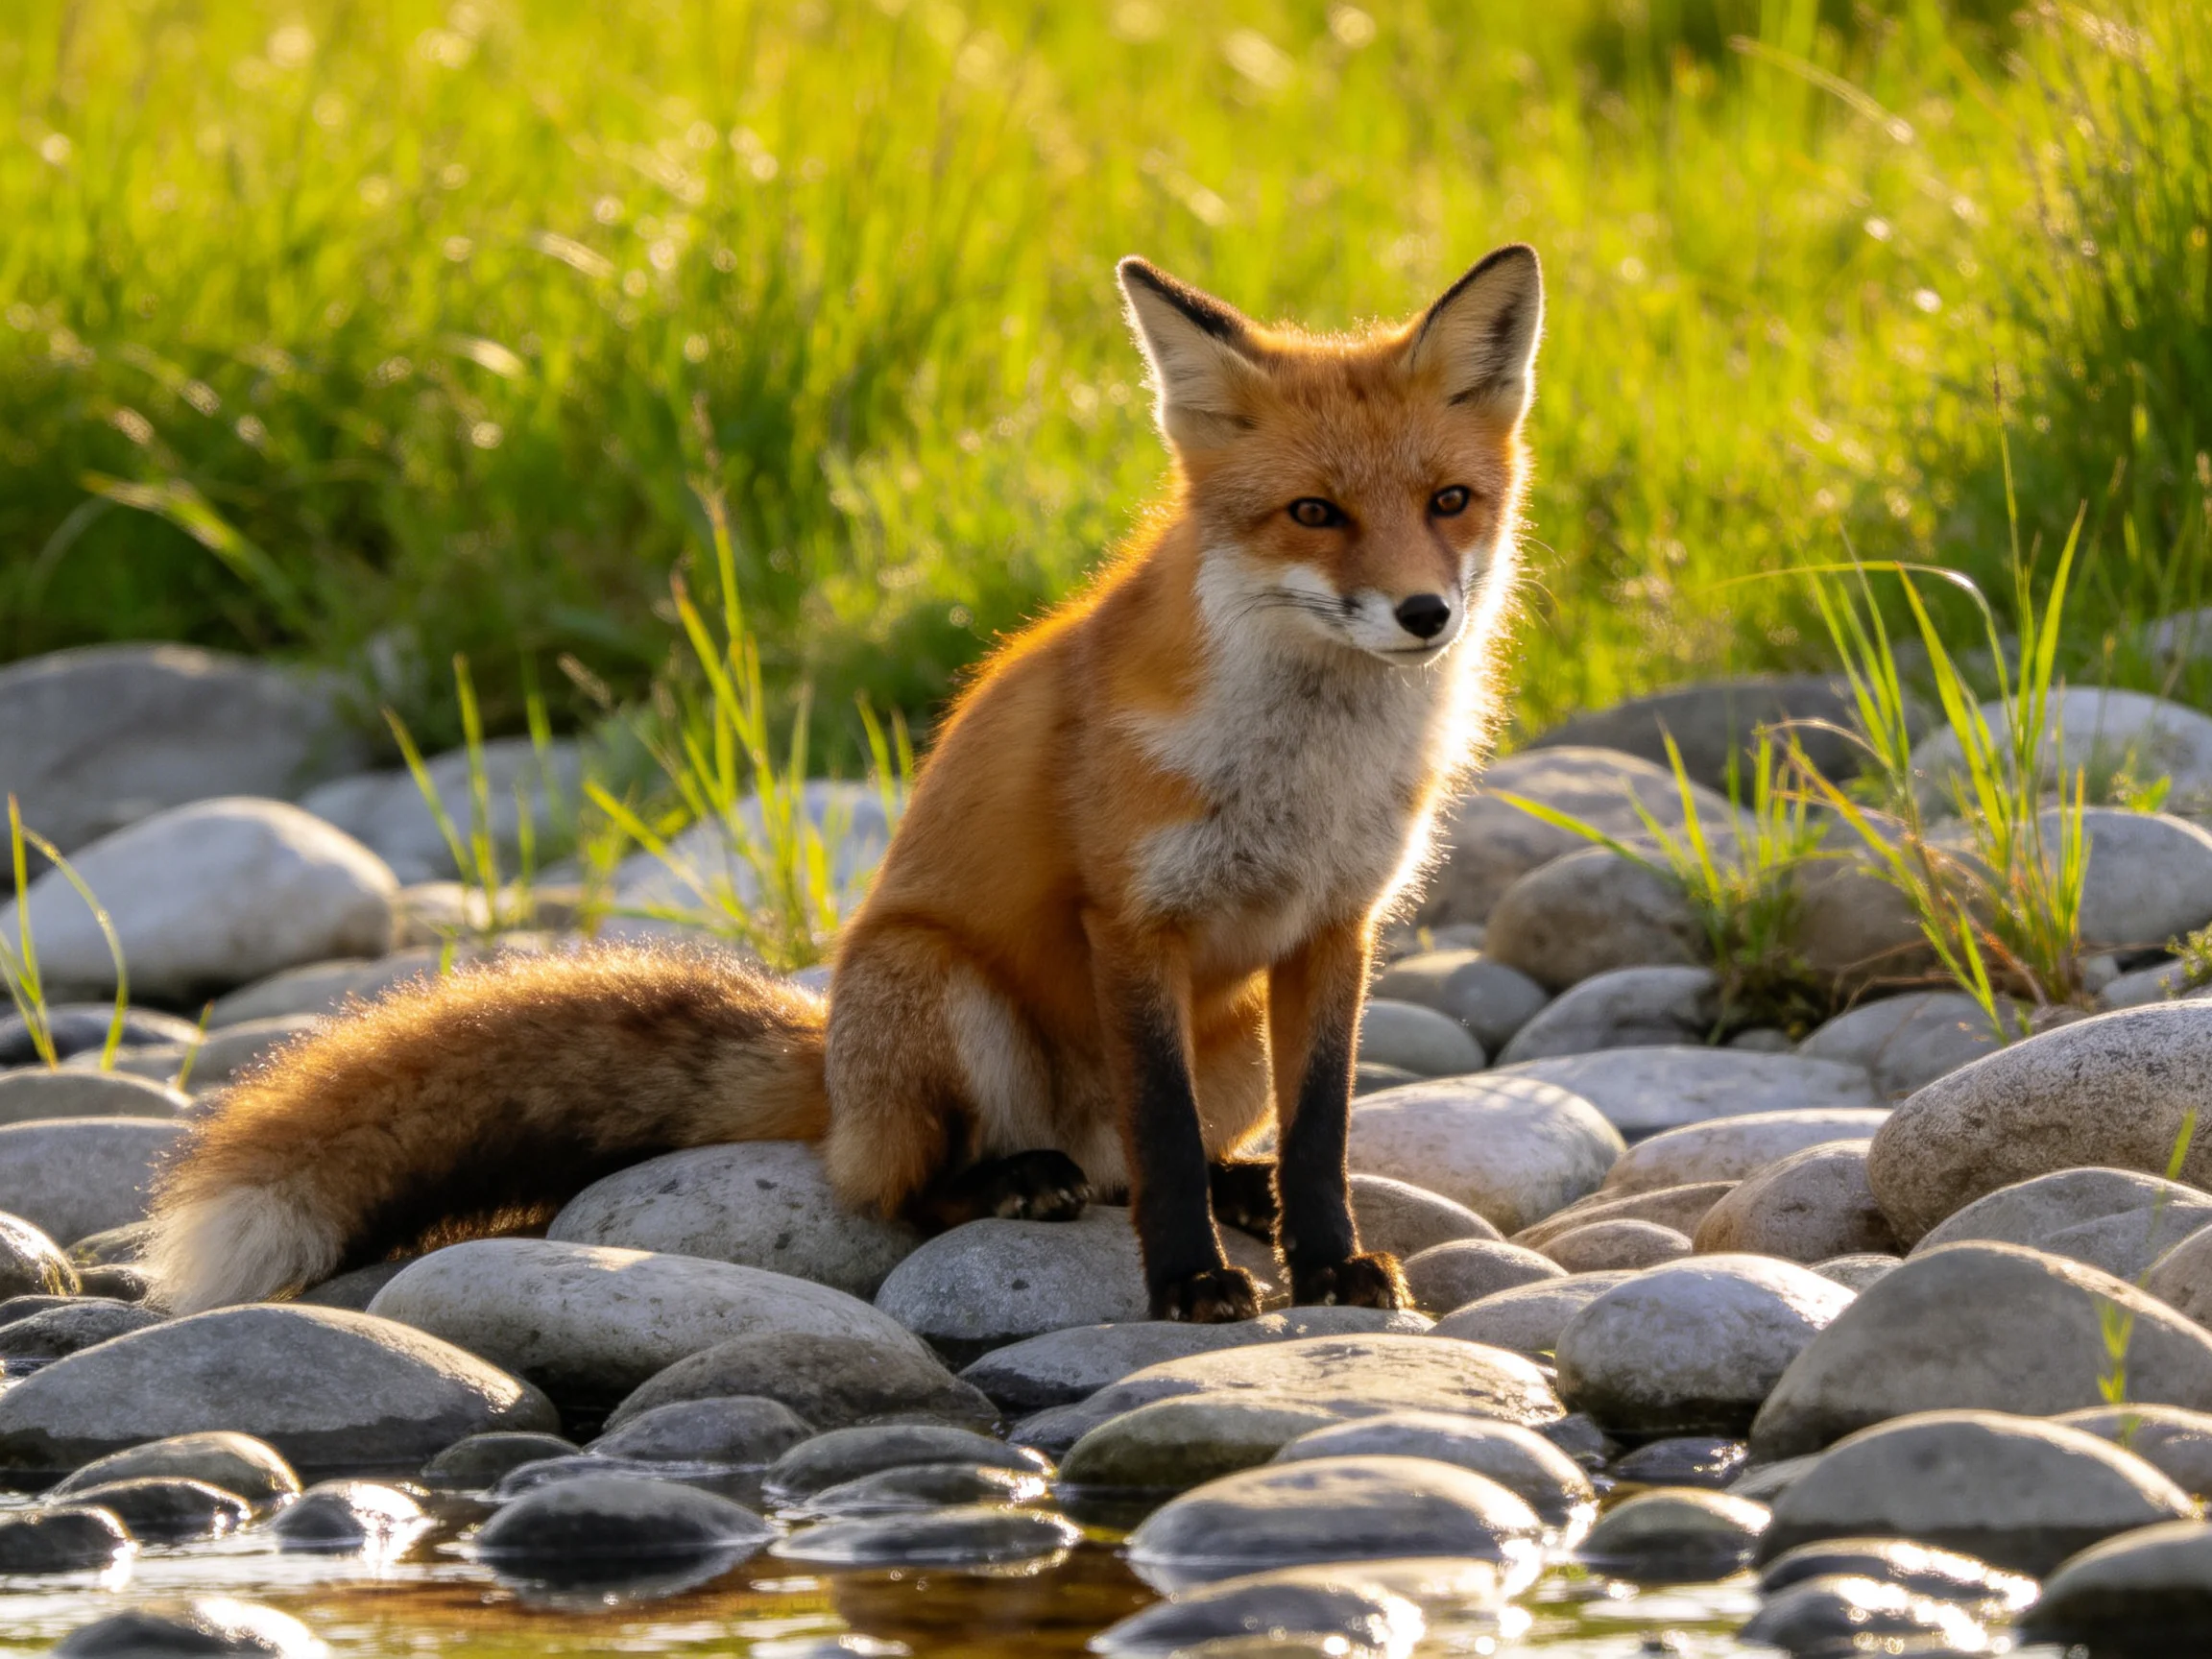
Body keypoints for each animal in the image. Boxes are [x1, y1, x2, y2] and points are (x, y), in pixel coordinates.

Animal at [145, 243, 1544, 1324]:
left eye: (1450, 501)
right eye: (1313, 513)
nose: (1425, 615)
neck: (1306, 767)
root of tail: (828, 1066)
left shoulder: (1334, 928)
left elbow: (1321, 1134)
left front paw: (1328, 1259)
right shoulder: (1132, 922)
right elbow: (1157, 1126)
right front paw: (1191, 1286)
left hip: (1233, 1032)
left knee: (1169, 1151)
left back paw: (1226, 1186)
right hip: (931, 983)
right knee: (909, 1186)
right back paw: (1011, 1182)